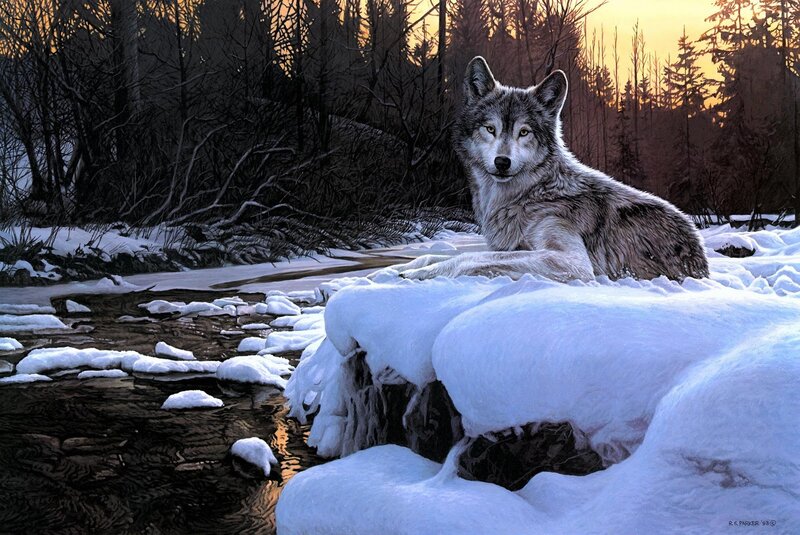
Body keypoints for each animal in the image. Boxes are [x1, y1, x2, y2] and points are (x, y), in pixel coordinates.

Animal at [398, 56, 709, 282]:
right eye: (490, 129)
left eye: (524, 132)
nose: (502, 162)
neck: (528, 195)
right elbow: (436, 255)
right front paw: (404, 267)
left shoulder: (571, 261)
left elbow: (468, 258)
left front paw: (419, 273)